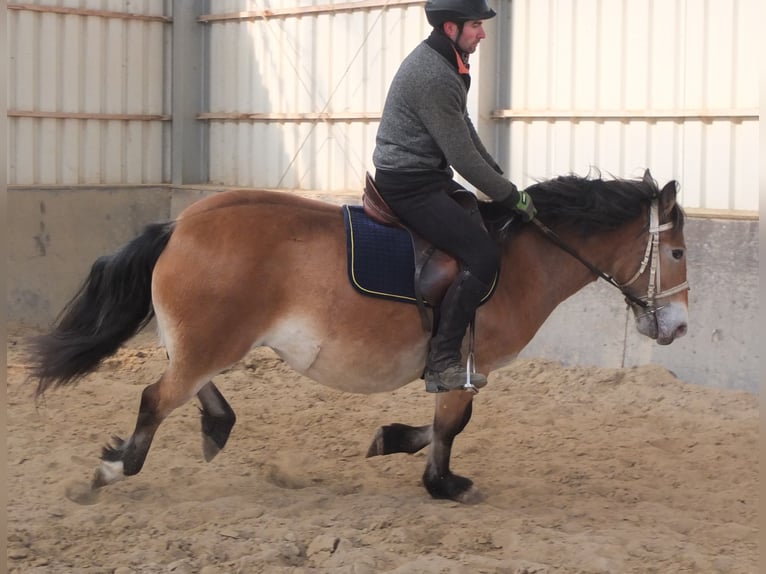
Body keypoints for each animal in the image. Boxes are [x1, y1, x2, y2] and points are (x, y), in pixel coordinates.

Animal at [27, 170, 692, 504]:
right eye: (679, 253)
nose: (681, 327)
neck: (518, 259)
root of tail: (181, 222)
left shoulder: (456, 370)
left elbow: (440, 425)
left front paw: (391, 440)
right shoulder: (463, 364)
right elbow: (453, 424)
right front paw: (441, 483)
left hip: (205, 342)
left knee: (186, 388)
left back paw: (215, 427)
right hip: (212, 341)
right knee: (156, 398)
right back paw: (115, 471)